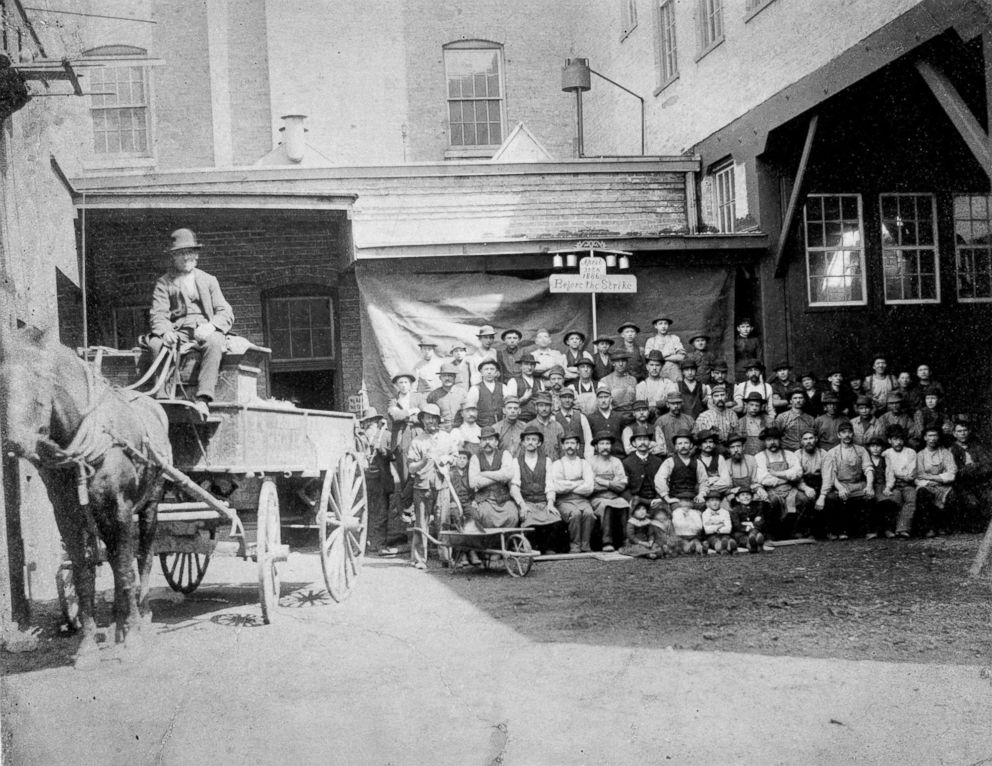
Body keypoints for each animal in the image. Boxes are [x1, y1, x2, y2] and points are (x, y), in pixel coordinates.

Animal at [0, 328, 170, 668]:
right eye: (1, 382)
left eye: (39, 377)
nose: (13, 443)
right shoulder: (67, 514)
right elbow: (83, 574)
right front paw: (89, 645)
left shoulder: (121, 509)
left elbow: (126, 570)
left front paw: (133, 639)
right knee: (116, 560)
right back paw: (118, 625)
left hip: (149, 505)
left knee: (142, 557)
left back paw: (141, 617)